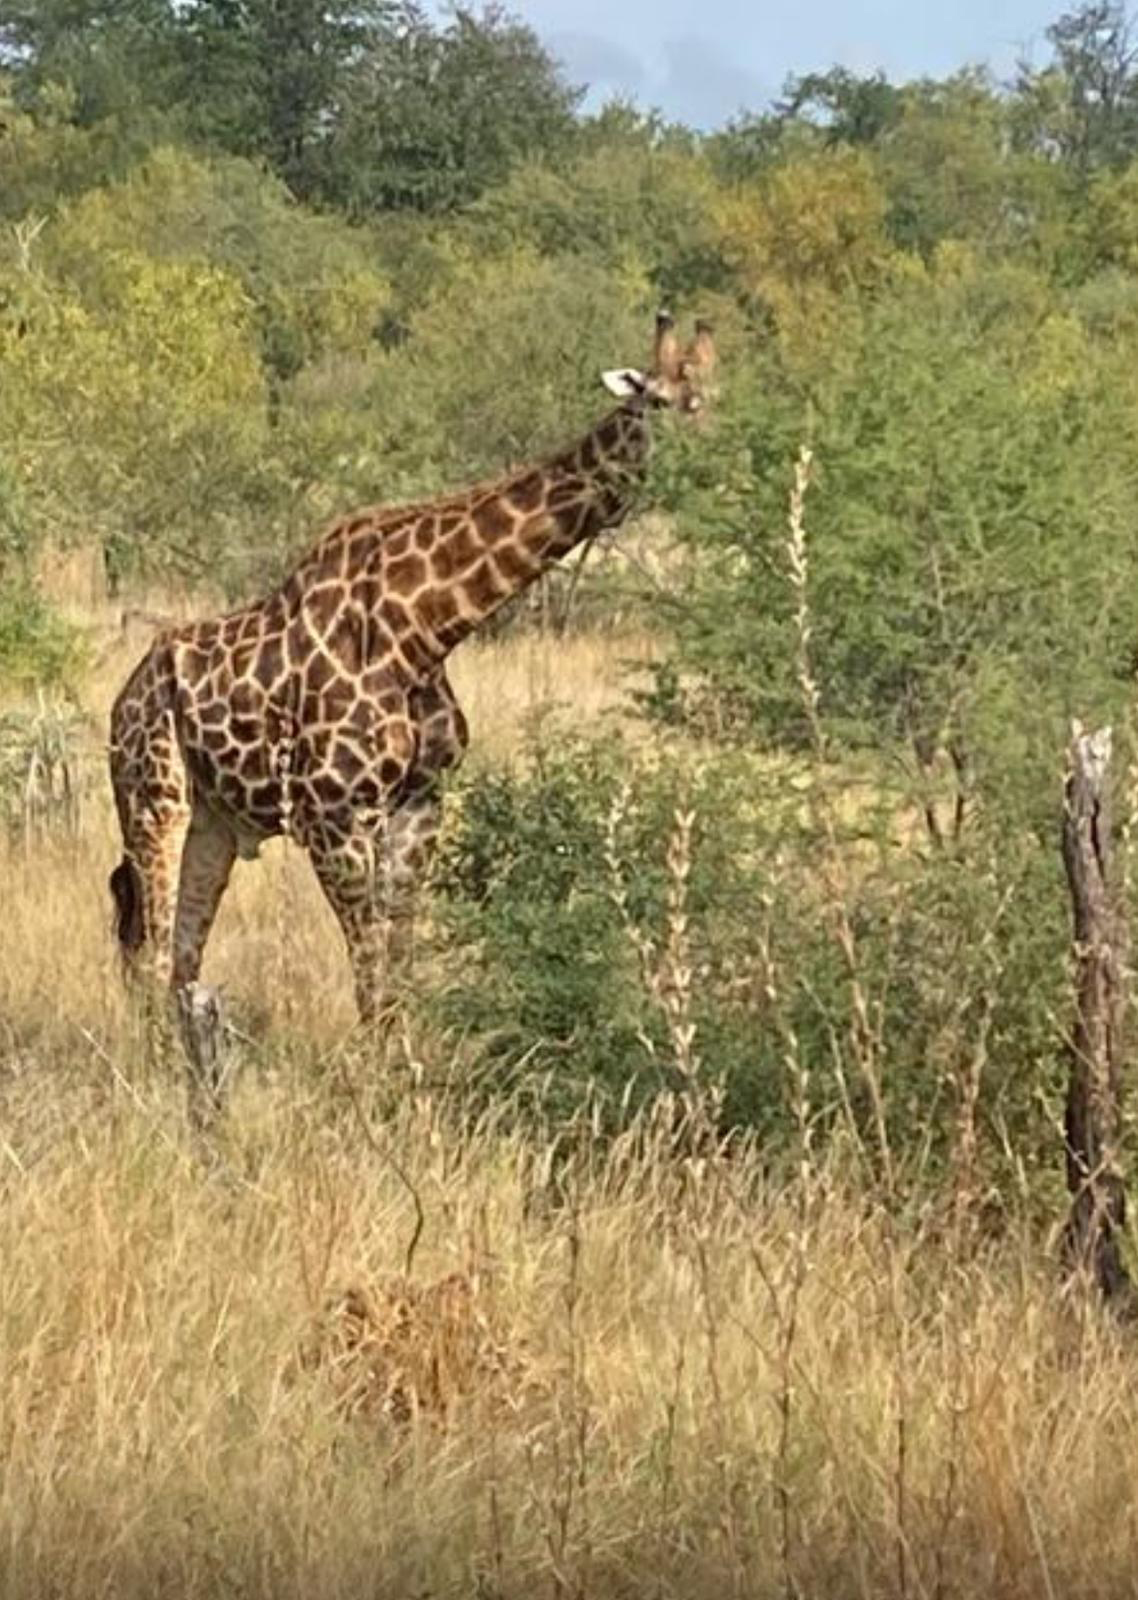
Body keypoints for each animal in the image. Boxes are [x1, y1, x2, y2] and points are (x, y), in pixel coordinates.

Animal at [108, 312, 717, 1027]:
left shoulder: (420, 806)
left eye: (713, 402)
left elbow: (399, 967)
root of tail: (124, 698)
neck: (427, 627)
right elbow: (370, 973)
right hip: (153, 799)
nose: (710, 467)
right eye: (658, 402)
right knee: (150, 950)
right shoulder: (334, 816)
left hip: (215, 822)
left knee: (181, 959)